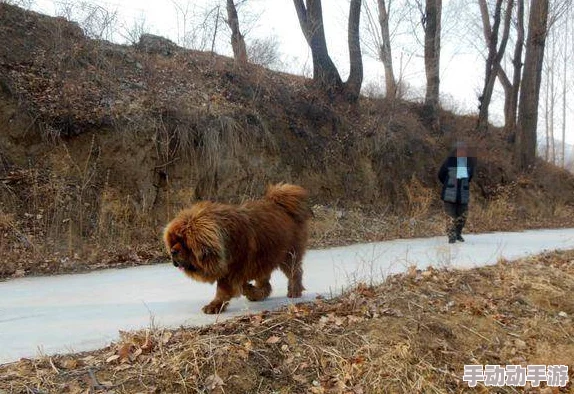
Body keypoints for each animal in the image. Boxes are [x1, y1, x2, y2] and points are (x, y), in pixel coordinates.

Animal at [164, 184, 312, 314]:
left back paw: (294, 291)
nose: (173, 252)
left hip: (288, 255)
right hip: (264, 258)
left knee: (295, 273)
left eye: (184, 241)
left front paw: (214, 306)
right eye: (173, 241)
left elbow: (223, 289)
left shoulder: (233, 270)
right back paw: (256, 294)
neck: (225, 239)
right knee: (265, 283)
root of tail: (282, 206)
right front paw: (247, 289)